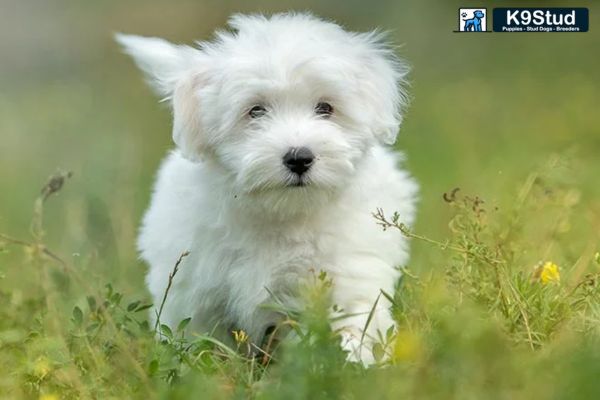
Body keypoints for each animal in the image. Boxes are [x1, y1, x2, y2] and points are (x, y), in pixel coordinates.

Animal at [116, 12, 418, 364]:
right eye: (256, 111)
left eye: (325, 108)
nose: (299, 157)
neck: (282, 215)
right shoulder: (195, 291)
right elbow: (199, 341)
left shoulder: (349, 274)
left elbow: (355, 324)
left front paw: (352, 363)